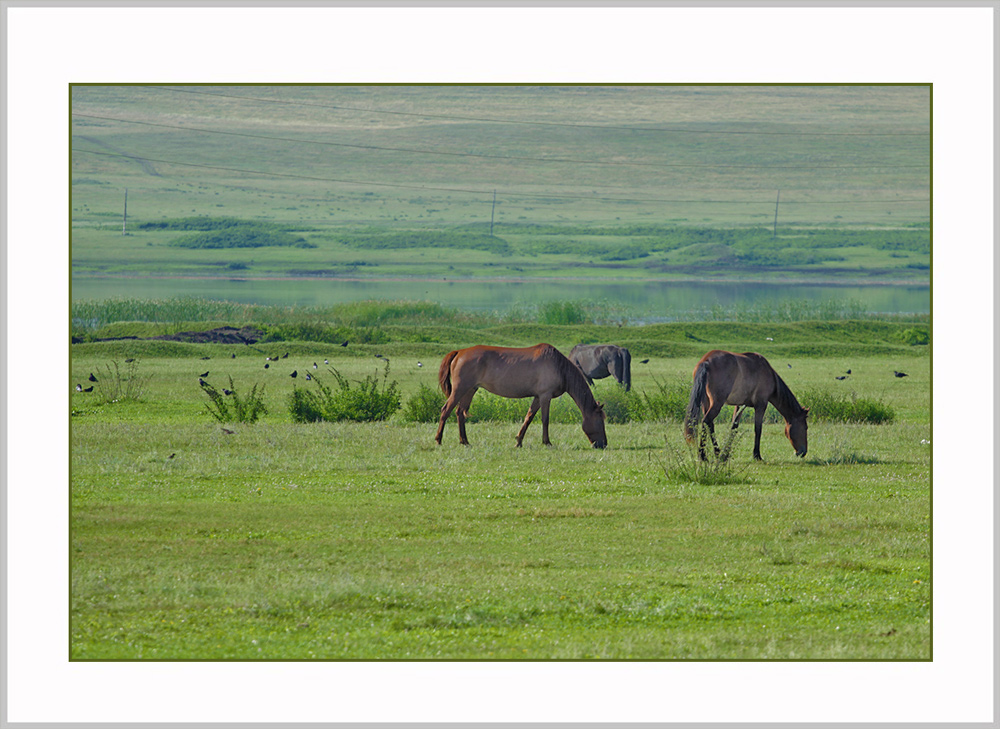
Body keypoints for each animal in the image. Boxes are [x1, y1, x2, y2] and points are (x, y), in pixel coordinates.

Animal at [438, 342, 608, 450]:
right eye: (600, 421)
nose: (603, 444)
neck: (560, 367)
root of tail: (459, 352)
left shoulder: (538, 397)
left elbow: (529, 417)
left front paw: (519, 441)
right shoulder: (545, 396)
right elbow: (545, 420)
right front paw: (547, 442)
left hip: (469, 390)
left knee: (460, 413)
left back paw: (464, 441)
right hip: (460, 389)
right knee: (446, 410)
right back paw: (438, 440)